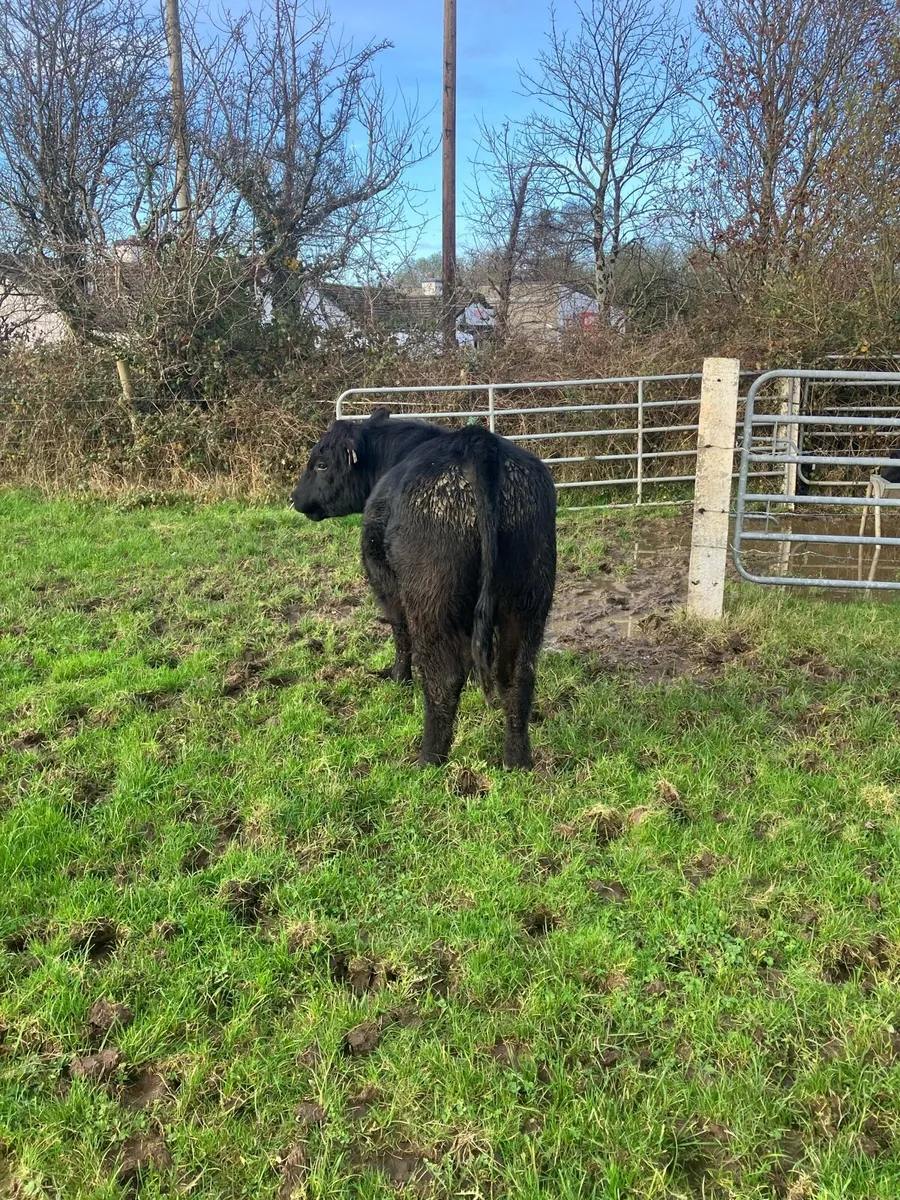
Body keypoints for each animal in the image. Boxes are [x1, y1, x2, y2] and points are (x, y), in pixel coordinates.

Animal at [290, 408, 557, 769]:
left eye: (321, 464)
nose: (294, 498)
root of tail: (476, 442)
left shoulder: (387, 585)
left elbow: (400, 634)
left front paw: (397, 678)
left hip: (431, 598)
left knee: (443, 676)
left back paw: (428, 759)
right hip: (528, 598)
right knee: (518, 676)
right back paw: (517, 761)